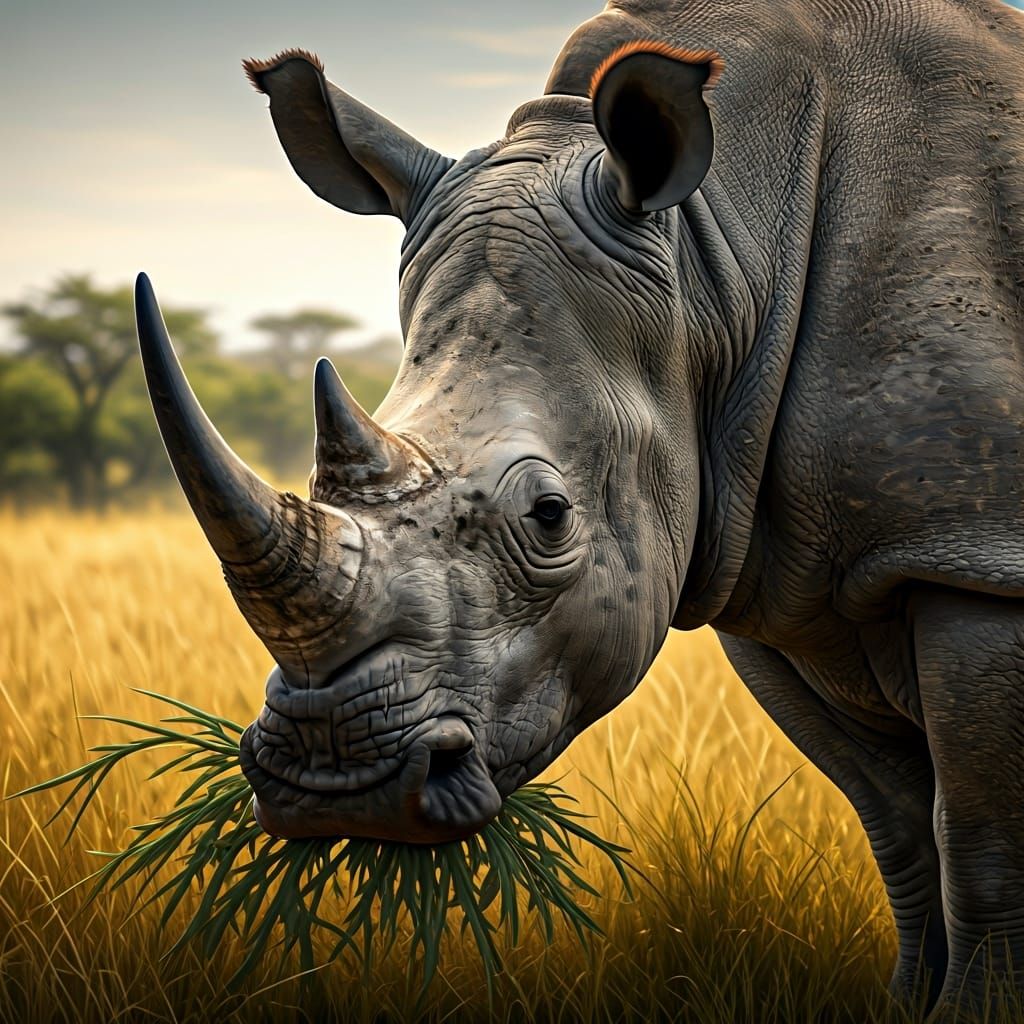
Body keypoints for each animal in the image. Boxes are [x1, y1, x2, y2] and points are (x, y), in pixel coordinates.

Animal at [135, 0, 1024, 1012]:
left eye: (550, 514)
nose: (341, 781)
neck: (717, 257)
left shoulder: (972, 554)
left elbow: (981, 846)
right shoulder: (781, 587)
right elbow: (902, 829)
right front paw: (911, 1006)